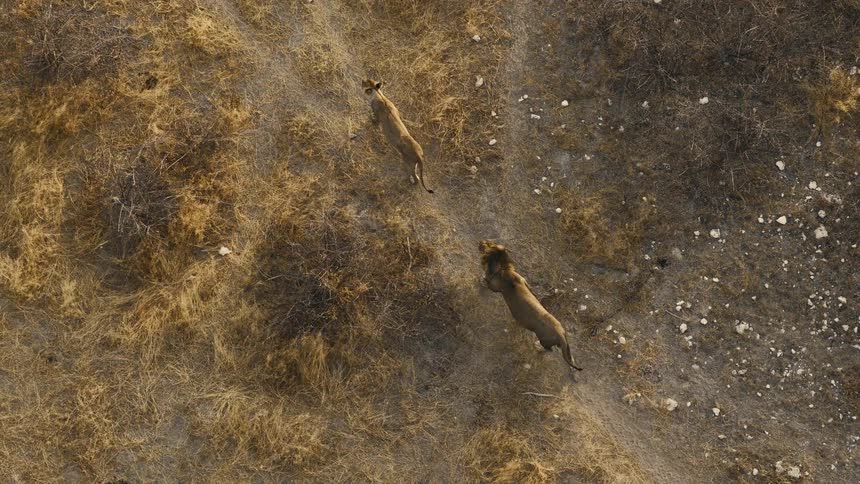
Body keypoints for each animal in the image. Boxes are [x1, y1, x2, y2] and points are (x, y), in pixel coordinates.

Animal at [480, 240, 584, 371]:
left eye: (487, 243)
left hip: (544, 340)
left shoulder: (495, 286)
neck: (505, 268)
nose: (480, 242)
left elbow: (488, 283)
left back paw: (537, 347)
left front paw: (481, 280)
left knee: (549, 350)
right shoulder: (522, 280)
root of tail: (561, 334)